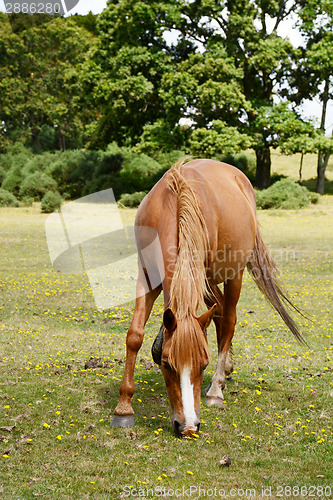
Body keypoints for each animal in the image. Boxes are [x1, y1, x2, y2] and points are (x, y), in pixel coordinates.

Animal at [110, 158, 302, 436]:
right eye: (166, 364)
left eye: (203, 364)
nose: (188, 426)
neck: (174, 204)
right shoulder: (146, 276)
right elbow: (134, 335)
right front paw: (123, 407)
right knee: (220, 314)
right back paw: (225, 371)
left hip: (231, 275)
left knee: (229, 318)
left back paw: (216, 389)